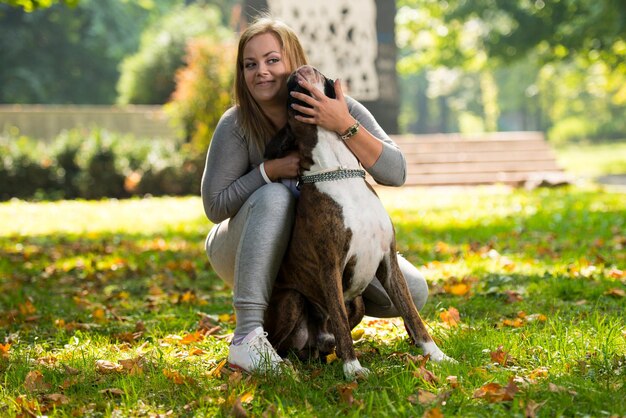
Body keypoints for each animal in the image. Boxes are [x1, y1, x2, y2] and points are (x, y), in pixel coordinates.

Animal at [260, 65, 450, 378]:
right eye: (288, 98)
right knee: (281, 342)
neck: (338, 171)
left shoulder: (389, 263)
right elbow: (338, 317)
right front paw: (352, 369)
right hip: (291, 299)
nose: (298, 70)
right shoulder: (330, 265)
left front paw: (436, 355)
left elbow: (412, 314)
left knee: (327, 339)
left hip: (358, 302)